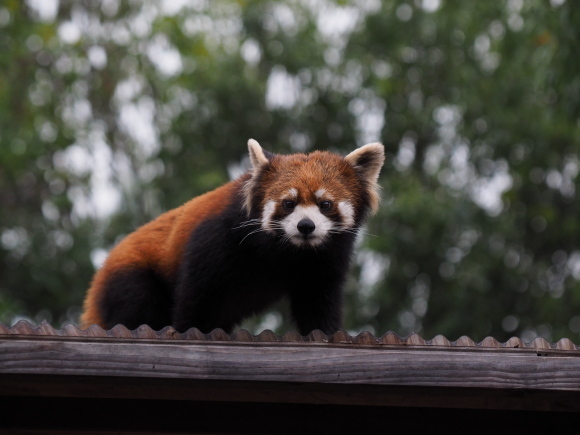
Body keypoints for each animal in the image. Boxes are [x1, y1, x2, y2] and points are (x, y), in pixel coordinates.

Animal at [79, 138, 382, 336]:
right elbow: (195, 298)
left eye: (325, 204)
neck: (287, 251)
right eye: (288, 203)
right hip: (130, 278)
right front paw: (187, 329)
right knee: (138, 306)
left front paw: (325, 330)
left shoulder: (324, 262)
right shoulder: (217, 239)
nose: (305, 226)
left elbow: (318, 302)